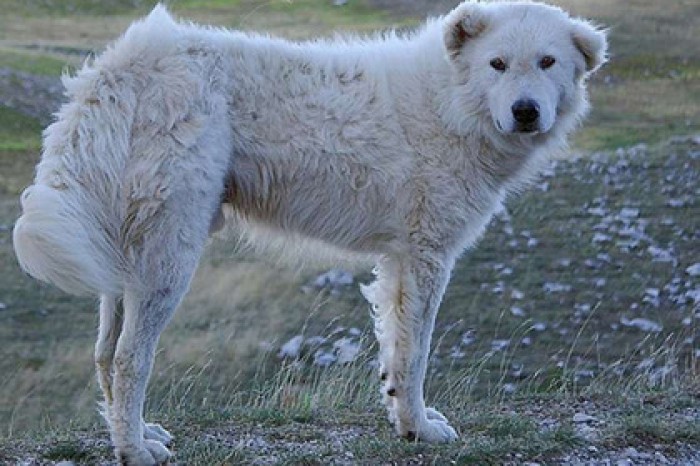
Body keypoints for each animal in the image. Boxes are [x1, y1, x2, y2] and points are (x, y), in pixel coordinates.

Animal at [15, 2, 608, 462]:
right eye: (497, 64)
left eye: (548, 62)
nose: (526, 111)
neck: (451, 103)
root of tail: (131, 59)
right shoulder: (426, 256)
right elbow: (416, 353)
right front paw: (420, 429)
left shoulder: (398, 262)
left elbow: (395, 353)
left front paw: (403, 419)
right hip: (170, 258)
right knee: (127, 359)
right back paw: (134, 450)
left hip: (129, 257)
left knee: (103, 355)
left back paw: (137, 432)